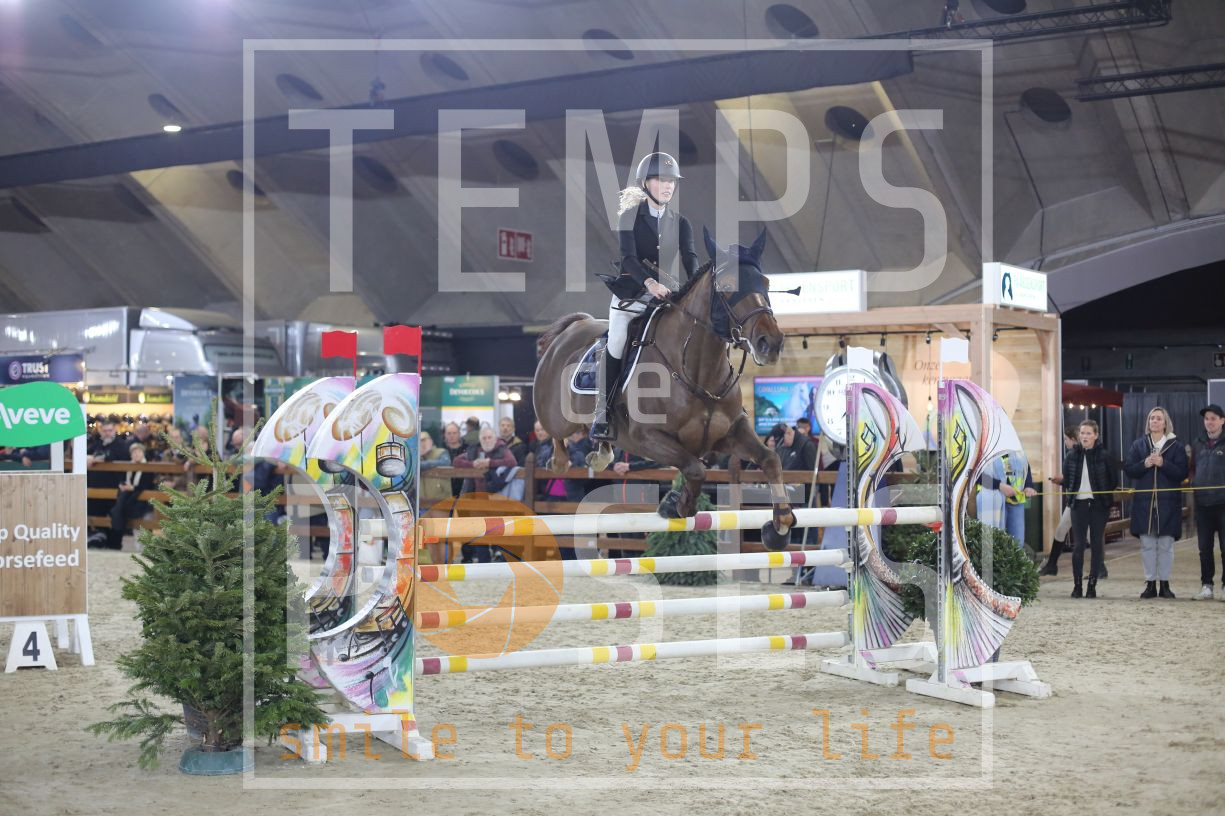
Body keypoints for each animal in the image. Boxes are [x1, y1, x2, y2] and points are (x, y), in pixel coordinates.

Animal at [533, 228, 797, 550]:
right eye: (727, 286)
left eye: (766, 283)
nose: (770, 343)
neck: (697, 370)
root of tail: (571, 330)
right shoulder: (647, 438)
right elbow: (695, 469)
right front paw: (676, 505)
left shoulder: (729, 434)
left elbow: (770, 459)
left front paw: (779, 525)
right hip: (555, 416)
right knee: (556, 436)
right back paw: (564, 460)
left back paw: (600, 453)